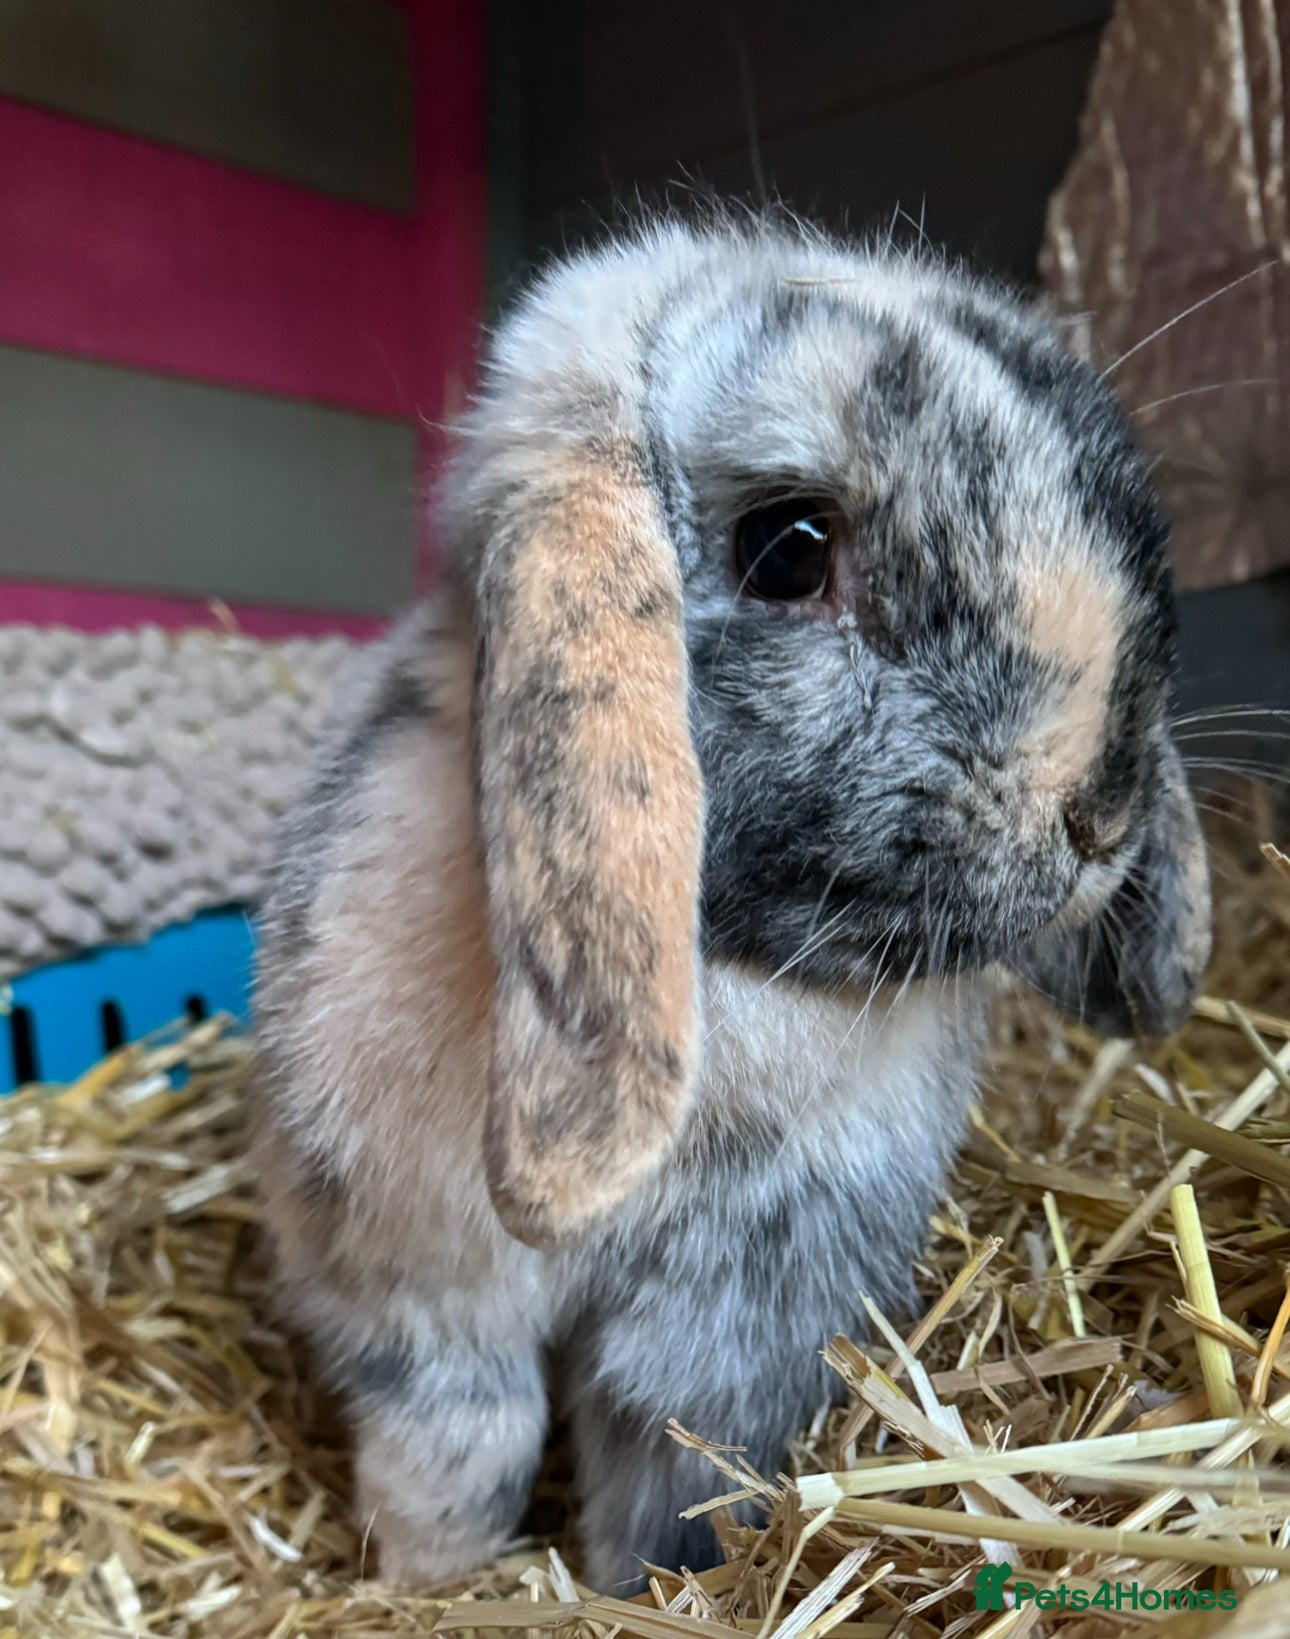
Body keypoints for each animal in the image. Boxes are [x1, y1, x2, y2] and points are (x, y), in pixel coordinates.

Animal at [251, 210, 1211, 1592]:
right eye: (790, 548)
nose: (1102, 814)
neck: (726, 970)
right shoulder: (416, 1295)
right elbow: (461, 1447)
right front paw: (434, 1581)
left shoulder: (739, 1314)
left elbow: (668, 1471)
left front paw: (640, 1589)